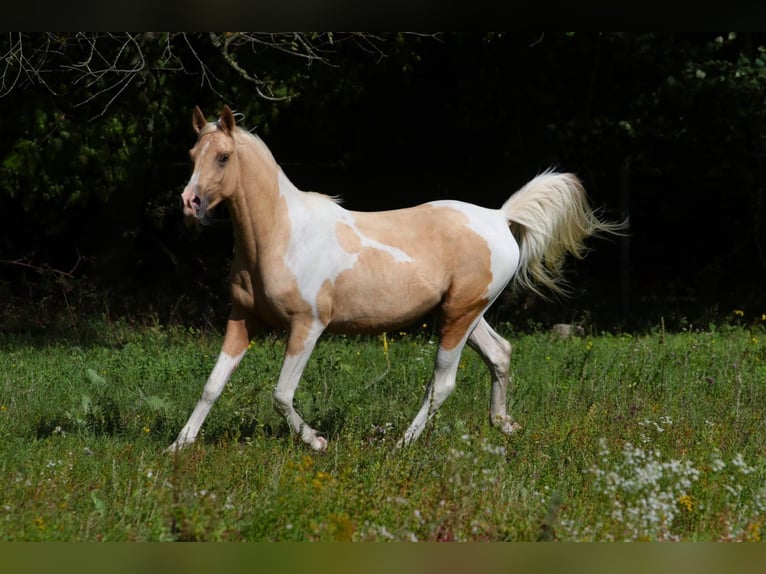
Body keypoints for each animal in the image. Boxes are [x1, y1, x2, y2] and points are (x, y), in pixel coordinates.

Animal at [168, 105, 621, 452]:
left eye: (223, 156)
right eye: (192, 153)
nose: (190, 203)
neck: (281, 235)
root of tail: (499, 217)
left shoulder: (307, 326)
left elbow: (281, 394)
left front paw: (317, 441)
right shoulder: (243, 319)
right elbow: (212, 385)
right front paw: (177, 447)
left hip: (459, 316)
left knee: (443, 383)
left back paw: (402, 444)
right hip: (463, 314)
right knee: (500, 353)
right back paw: (503, 423)